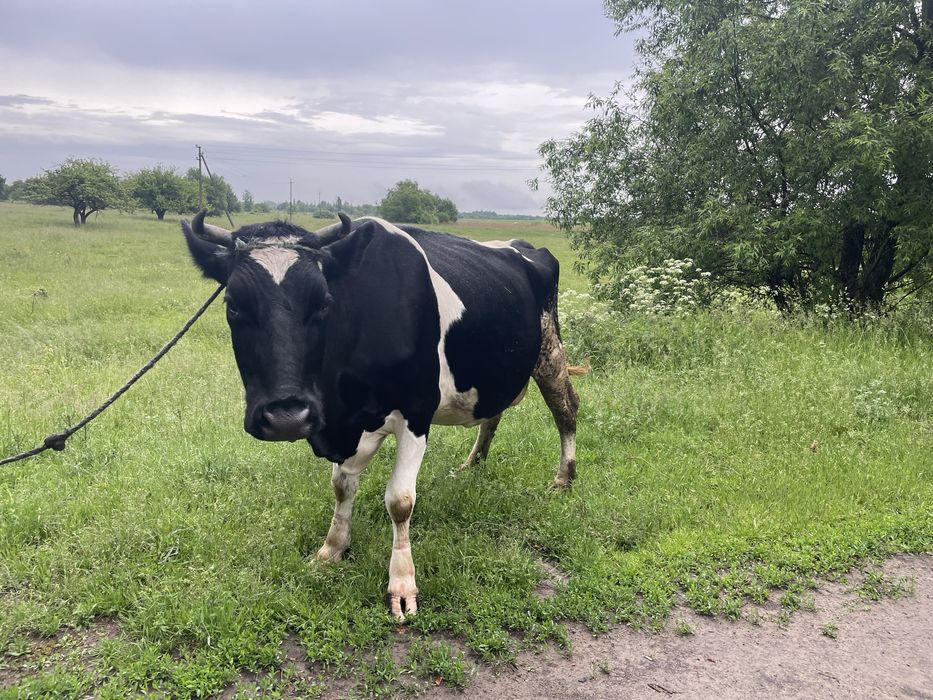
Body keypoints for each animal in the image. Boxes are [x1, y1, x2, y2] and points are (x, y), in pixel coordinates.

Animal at [181, 211, 581, 619]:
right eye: (233, 304)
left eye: (324, 302)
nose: (287, 417)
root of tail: (526, 246)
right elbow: (341, 486)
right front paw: (332, 549)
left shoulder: (416, 411)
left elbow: (400, 501)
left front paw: (402, 584)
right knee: (492, 414)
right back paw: (473, 463)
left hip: (549, 349)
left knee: (566, 409)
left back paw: (564, 476)